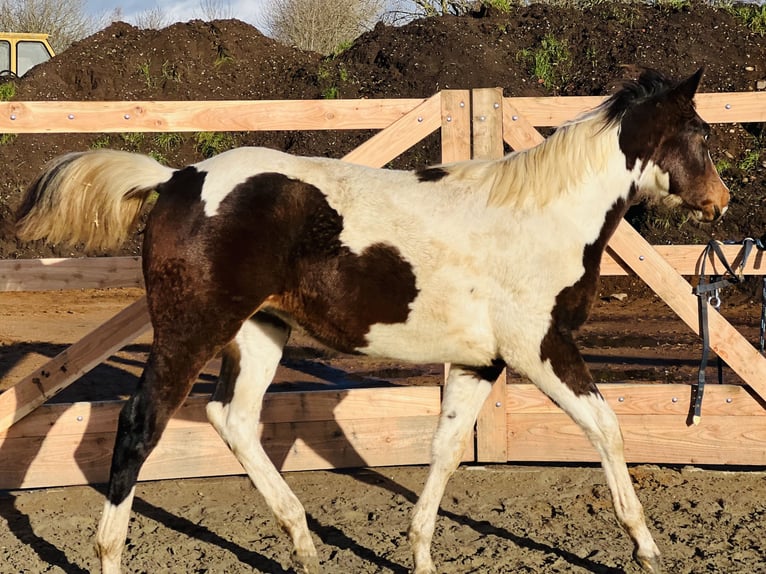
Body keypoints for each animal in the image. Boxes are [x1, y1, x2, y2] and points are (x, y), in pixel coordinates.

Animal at [15, 68, 728, 574]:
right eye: (698, 135)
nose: (719, 202)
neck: (541, 215)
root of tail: (179, 178)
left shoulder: (480, 362)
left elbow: (445, 449)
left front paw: (420, 554)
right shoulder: (542, 349)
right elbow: (606, 429)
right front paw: (646, 548)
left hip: (260, 333)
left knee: (233, 419)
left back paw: (303, 544)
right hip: (191, 332)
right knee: (140, 425)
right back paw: (113, 554)